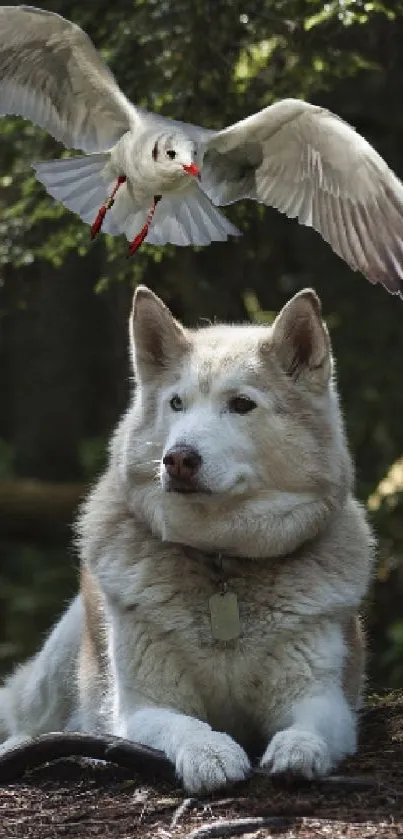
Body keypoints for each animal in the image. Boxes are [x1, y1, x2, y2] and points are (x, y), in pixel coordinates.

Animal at [0, 286, 376, 792]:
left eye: (241, 404)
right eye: (177, 403)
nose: (177, 458)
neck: (221, 562)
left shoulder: (322, 697)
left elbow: (309, 728)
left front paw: (298, 750)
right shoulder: (143, 706)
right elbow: (185, 726)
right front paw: (210, 754)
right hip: (60, 664)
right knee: (29, 720)